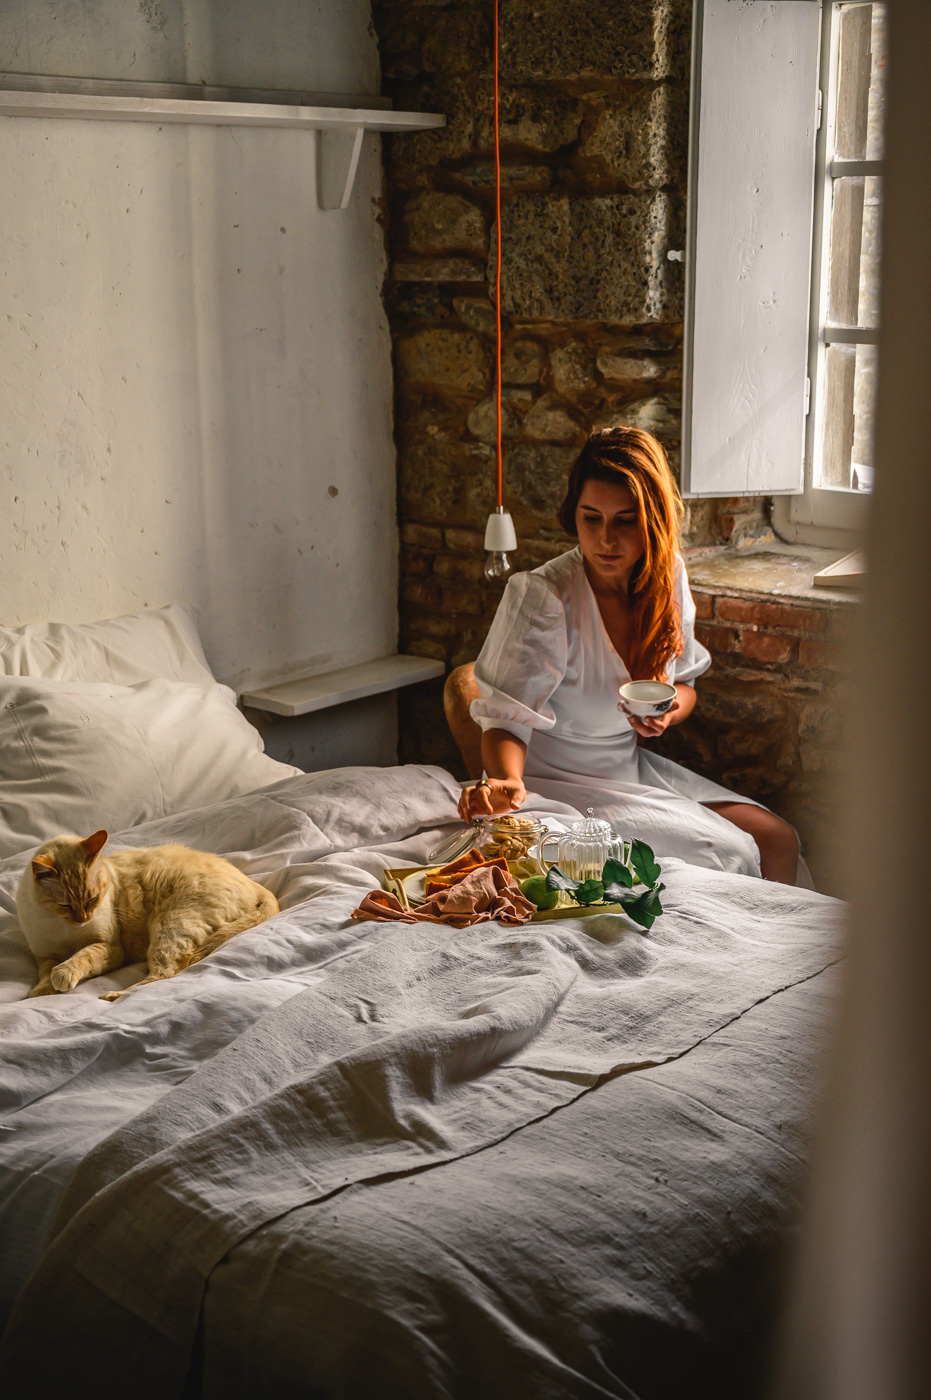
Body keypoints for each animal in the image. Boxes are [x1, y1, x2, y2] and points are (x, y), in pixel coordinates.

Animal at [17, 829, 279, 1002]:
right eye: (65, 905)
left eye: (92, 899)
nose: (83, 919)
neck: (63, 926)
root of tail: (253, 883)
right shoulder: (43, 954)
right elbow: (45, 971)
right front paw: (42, 990)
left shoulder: (111, 948)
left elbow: (81, 956)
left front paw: (62, 976)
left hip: (169, 926)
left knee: (164, 974)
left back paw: (112, 995)